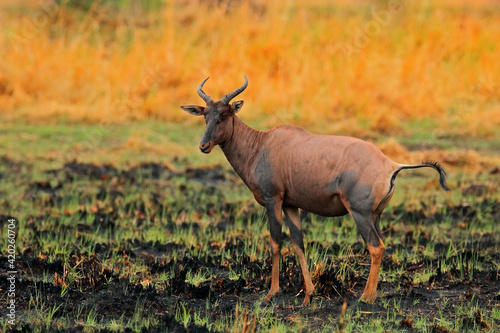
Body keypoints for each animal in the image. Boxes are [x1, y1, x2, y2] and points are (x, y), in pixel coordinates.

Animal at [182, 76, 452, 304]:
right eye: (205, 115)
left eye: (224, 114)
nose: (204, 145)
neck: (262, 145)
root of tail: (391, 164)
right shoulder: (291, 204)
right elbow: (298, 243)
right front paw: (308, 295)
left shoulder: (273, 200)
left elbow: (275, 242)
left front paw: (270, 294)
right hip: (375, 215)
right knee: (381, 246)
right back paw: (369, 295)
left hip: (360, 214)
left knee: (376, 247)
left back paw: (365, 299)